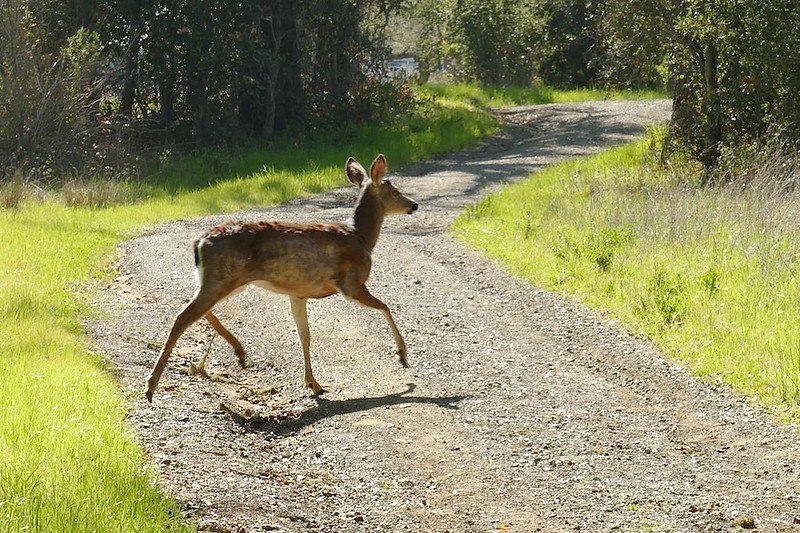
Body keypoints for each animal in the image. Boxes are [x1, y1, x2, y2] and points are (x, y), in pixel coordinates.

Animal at [145, 154, 419, 402]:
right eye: (394, 190)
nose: (414, 205)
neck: (360, 237)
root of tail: (199, 243)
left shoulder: (298, 293)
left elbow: (304, 335)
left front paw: (313, 384)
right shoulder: (351, 283)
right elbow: (385, 307)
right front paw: (402, 355)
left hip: (224, 281)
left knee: (195, 309)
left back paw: (239, 351)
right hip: (224, 277)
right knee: (183, 317)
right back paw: (151, 385)